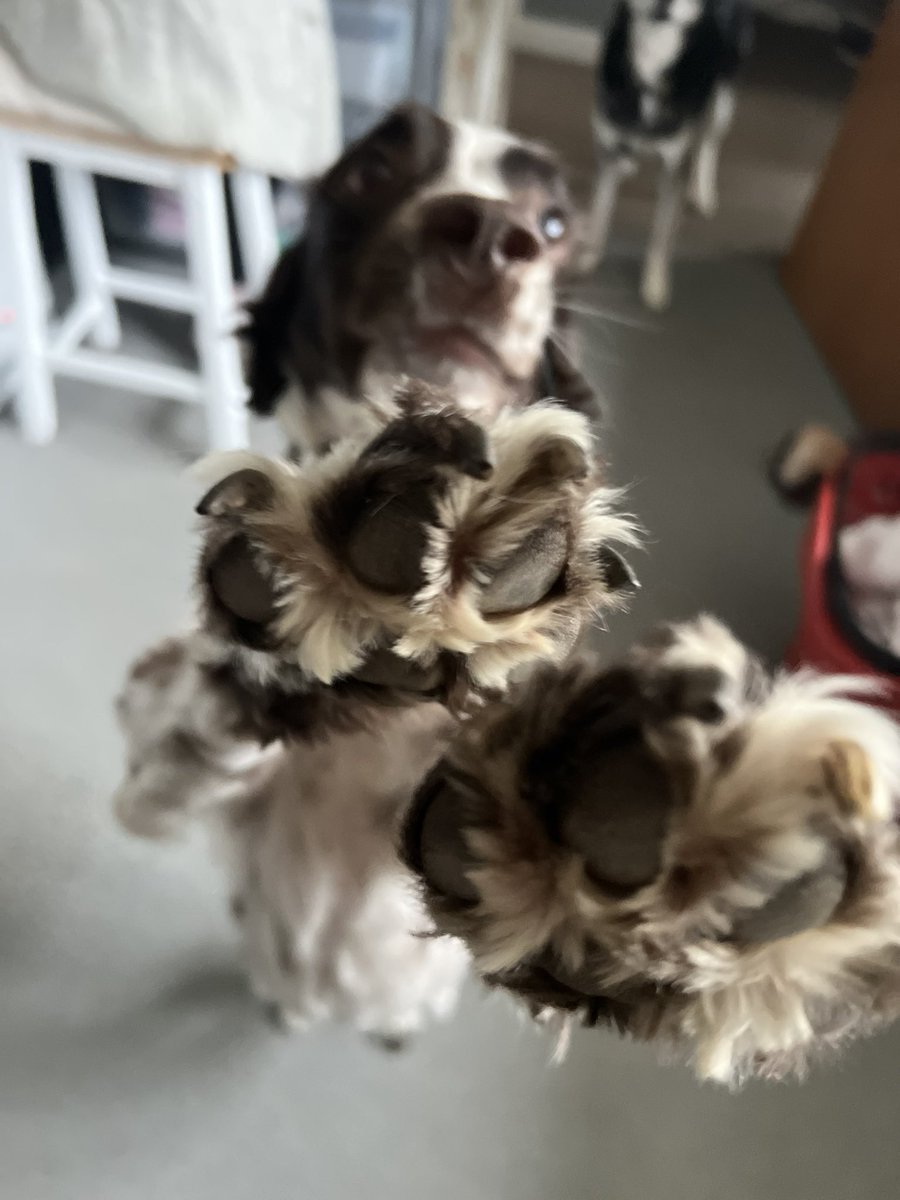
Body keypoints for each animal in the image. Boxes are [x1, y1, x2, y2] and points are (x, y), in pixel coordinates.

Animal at [578, 1, 753, 309]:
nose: (664, 4)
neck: (652, 60)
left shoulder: (673, 165)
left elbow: (661, 232)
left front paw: (654, 283)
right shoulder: (608, 150)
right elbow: (601, 210)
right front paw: (589, 256)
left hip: (722, 98)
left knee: (709, 143)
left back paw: (703, 192)